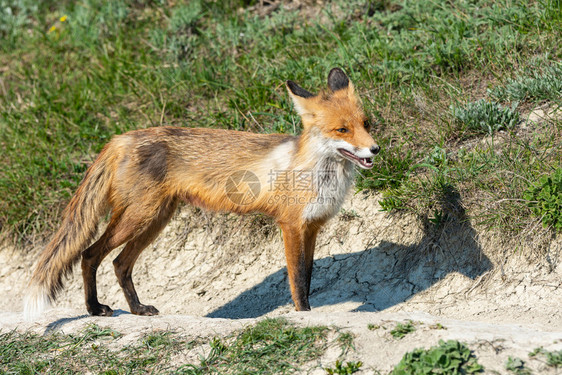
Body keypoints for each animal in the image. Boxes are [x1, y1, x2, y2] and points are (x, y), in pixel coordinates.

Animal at [24, 68, 378, 320]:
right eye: (342, 130)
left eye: (366, 123)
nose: (374, 149)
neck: (319, 174)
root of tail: (121, 137)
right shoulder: (291, 225)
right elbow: (297, 281)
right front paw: (303, 315)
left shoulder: (313, 227)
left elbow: (308, 275)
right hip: (138, 218)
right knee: (89, 255)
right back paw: (94, 309)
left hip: (155, 221)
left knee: (120, 263)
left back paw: (137, 310)